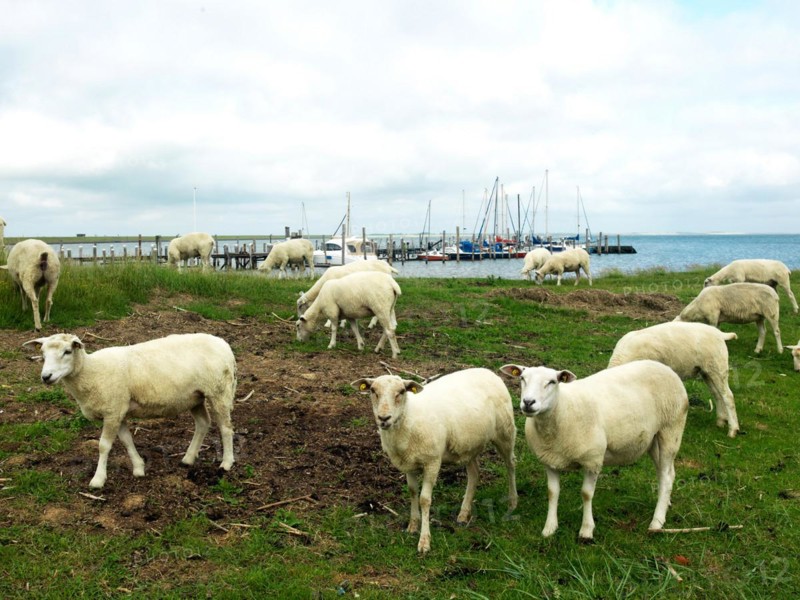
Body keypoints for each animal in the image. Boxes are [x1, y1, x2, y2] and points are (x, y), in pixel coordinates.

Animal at [23, 333, 237, 489]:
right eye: (42, 355)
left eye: (67, 351)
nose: (46, 376)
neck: (91, 372)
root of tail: (224, 344)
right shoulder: (118, 410)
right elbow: (126, 440)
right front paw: (139, 468)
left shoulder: (111, 411)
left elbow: (103, 446)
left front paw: (98, 480)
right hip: (195, 397)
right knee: (203, 423)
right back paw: (188, 459)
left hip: (219, 391)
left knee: (226, 428)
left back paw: (226, 463)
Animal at [351, 368, 517, 553]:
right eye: (373, 390)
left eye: (401, 391)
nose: (384, 418)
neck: (409, 417)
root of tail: (488, 371)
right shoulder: (408, 463)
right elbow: (412, 492)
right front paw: (412, 526)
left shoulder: (432, 461)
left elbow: (424, 499)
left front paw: (424, 541)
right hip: (469, 444)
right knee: (474, 474)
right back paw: (463, 513)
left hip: (505, 431)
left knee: (511, 464)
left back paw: (512, 502)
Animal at [500, 360, 688, 540]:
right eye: (522, 378)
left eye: (552, 382)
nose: (528, 403)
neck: (562, 410)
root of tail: (666, 368)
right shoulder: (550, 461)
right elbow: (552, 493)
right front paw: (549, 528)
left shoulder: (593, 460)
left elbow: (586, 494)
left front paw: (586, 530)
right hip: (652, 439)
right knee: (667, 473)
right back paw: (666, 503)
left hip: (671, 429)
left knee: (666, 477)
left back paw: (657, 522)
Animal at [609, 322, 740, 437]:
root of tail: (720, 334)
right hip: (707, 371)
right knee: (717, 395)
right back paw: (720, 421)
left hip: (717, 366)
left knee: (728, 396)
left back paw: (733, 429)